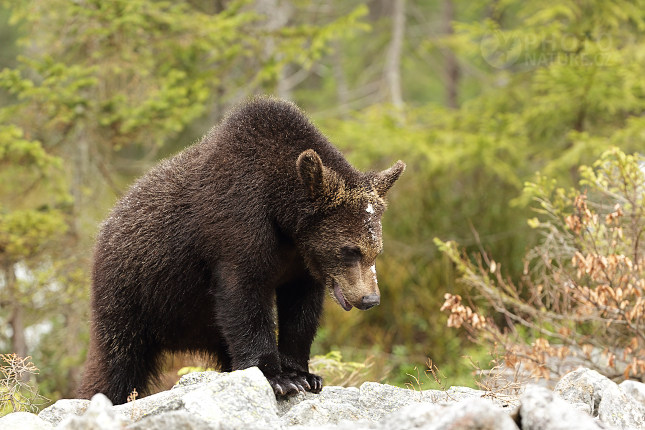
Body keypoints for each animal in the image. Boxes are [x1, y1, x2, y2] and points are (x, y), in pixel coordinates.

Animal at [78, 95, 406, 404]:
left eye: (375, 250)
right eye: (349, 250)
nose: (370, 299)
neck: (282, 217)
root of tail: (107, 222)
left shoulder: (302, 262)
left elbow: (301, 310)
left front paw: (305, 375)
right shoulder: (236, 227)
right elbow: (245, 296)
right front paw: (278, 379)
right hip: (133, 295)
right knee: (117, 360)